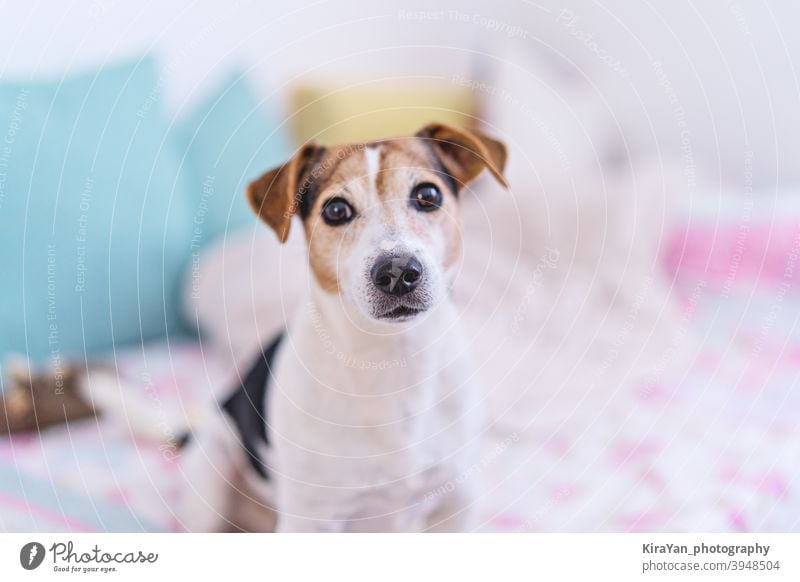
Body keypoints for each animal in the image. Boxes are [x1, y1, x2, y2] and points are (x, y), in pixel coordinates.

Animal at [180, 123, 506, 532]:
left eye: (428, 195)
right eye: (336, 210)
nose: (398, 271)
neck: (390, 358)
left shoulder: (457, 499)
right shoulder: (310, 520)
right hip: (212, 466)